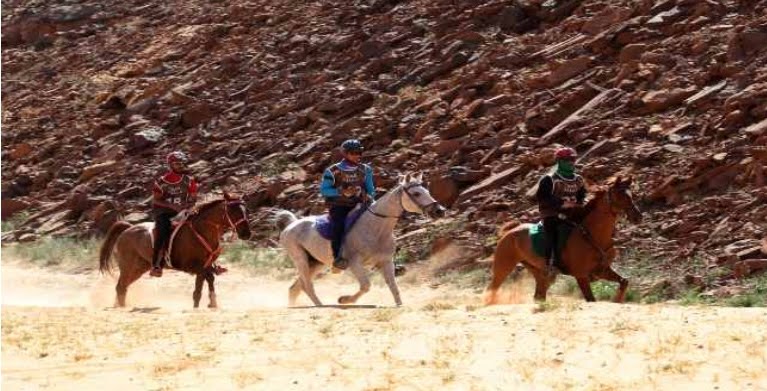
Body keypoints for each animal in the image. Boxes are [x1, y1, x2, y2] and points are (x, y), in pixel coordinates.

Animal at [97, 194, 250, 308]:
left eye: (245, 210)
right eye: (233, 211)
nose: (246, 234)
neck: (201, 231)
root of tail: (128, 228)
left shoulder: (204, 266)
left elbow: (203, 284)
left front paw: (209, 303)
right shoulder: (192, 266)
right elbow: (206, 279)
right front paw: (209, 302)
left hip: (139, 268)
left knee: (123, 287)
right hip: (128, 266)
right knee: (120, 287)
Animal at [276, 174, 448, 306]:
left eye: (427, 191)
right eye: (417, 193)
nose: (439, 211)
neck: (376, 228)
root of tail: (290, 225)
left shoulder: (386, 262)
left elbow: (393, 286)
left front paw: (400, 305)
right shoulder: (355, 263)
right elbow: (366, 286)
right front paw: (344, 300)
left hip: (316, 263)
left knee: (295, 288)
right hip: (301, 260)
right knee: (307, 286)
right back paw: (320, 306)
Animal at [486, 176, 640, 304]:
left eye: (631, 194)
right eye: (620, 195)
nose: (638, 216)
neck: (594, 235)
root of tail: (509, 232)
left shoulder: (602, 270)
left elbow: (624, 282)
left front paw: (617, 300)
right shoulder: (581, 276)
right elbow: (591, 299)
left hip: (538, 271)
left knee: (539, 295)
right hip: (503, 267)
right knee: (492, 288)